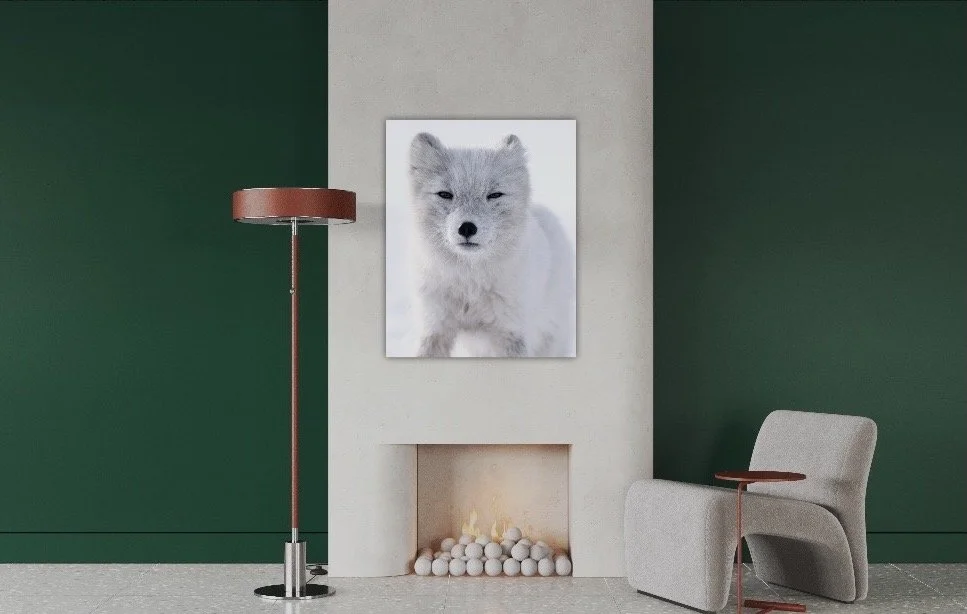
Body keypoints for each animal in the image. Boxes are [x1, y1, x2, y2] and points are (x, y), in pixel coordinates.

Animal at [408, 132, 575, 357]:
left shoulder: (511, 333)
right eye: (445, 194)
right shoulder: (434, 328)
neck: (470, 283)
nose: (467, 228)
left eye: (494, 195)